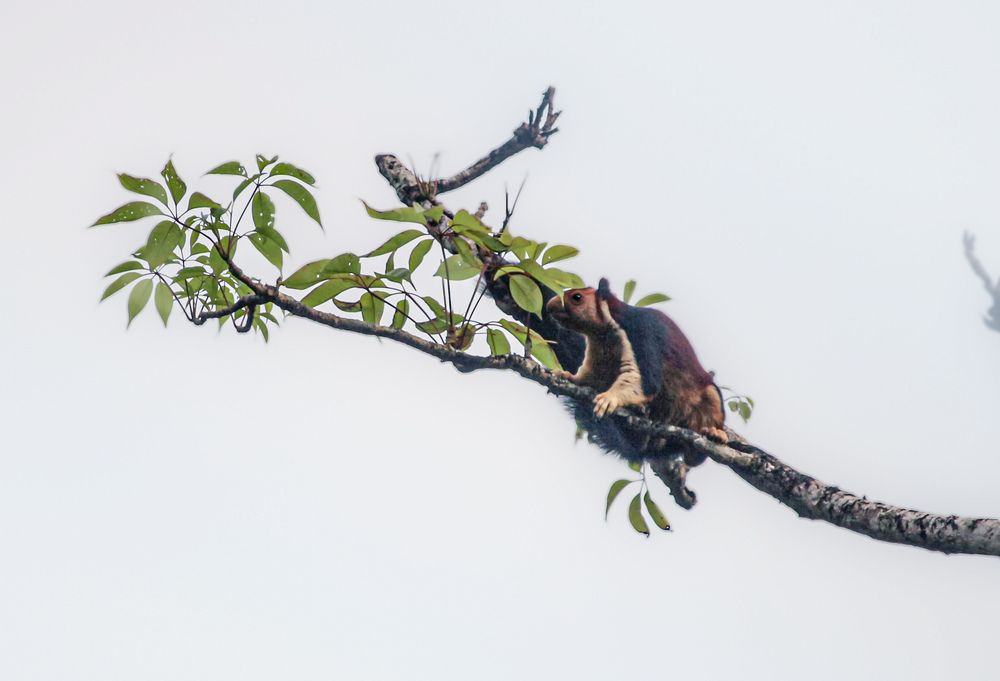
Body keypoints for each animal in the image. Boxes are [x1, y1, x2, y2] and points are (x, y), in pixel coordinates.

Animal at [545, 278, 727, 463]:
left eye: (577, 297)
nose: (549, 305)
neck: (606, 330)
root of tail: (650, 448)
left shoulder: (642, 332)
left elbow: (646, 383)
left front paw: (609, 398)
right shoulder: (598, 351)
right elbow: (590, 375)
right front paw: (566, 375)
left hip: (707, 400)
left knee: (695, 456)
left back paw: (715, 434)